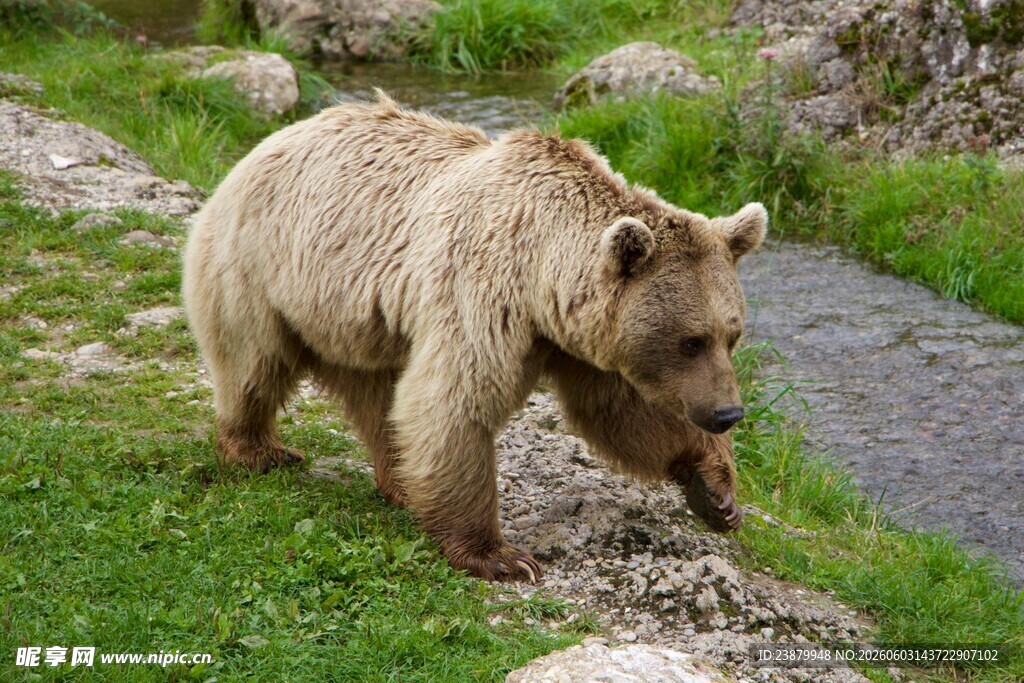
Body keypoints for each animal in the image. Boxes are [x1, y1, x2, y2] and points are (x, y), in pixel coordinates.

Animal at [182, 91, 766, 582]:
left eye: (731, 335)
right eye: (691, 340)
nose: (727, 413)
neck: (543, 276)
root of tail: (267, 142)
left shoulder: (579, 340)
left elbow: (620, 411)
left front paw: (715, 491)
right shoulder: (483, 293)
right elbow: (455, 401)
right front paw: (500, 556)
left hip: (357, 320)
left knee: (379, 397)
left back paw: (400, 482)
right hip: (264, 269)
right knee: (253, 362)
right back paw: (259, 449)